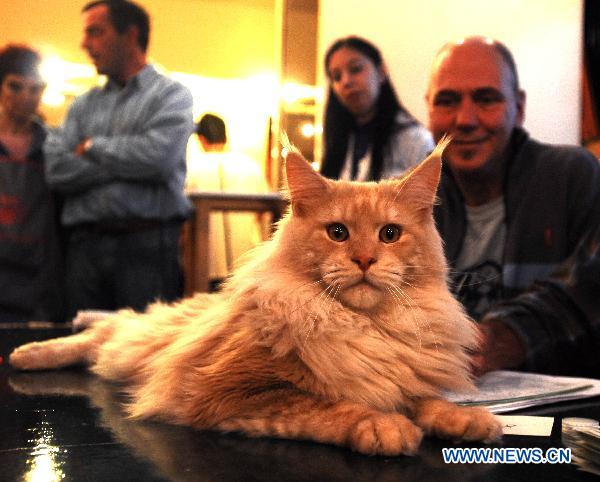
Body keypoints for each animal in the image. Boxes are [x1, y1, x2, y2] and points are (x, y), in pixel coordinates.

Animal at [9, 139, 502, 456]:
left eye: (390, 234)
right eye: (337, 232)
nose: (364, 259)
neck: (368, 328)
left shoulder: (400, 377)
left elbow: (425, 399)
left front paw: (468, 420)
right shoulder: (232, 390)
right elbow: (327, 406)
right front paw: (383, 425)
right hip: (130, 339)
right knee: (99, 331)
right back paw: (27, 354)